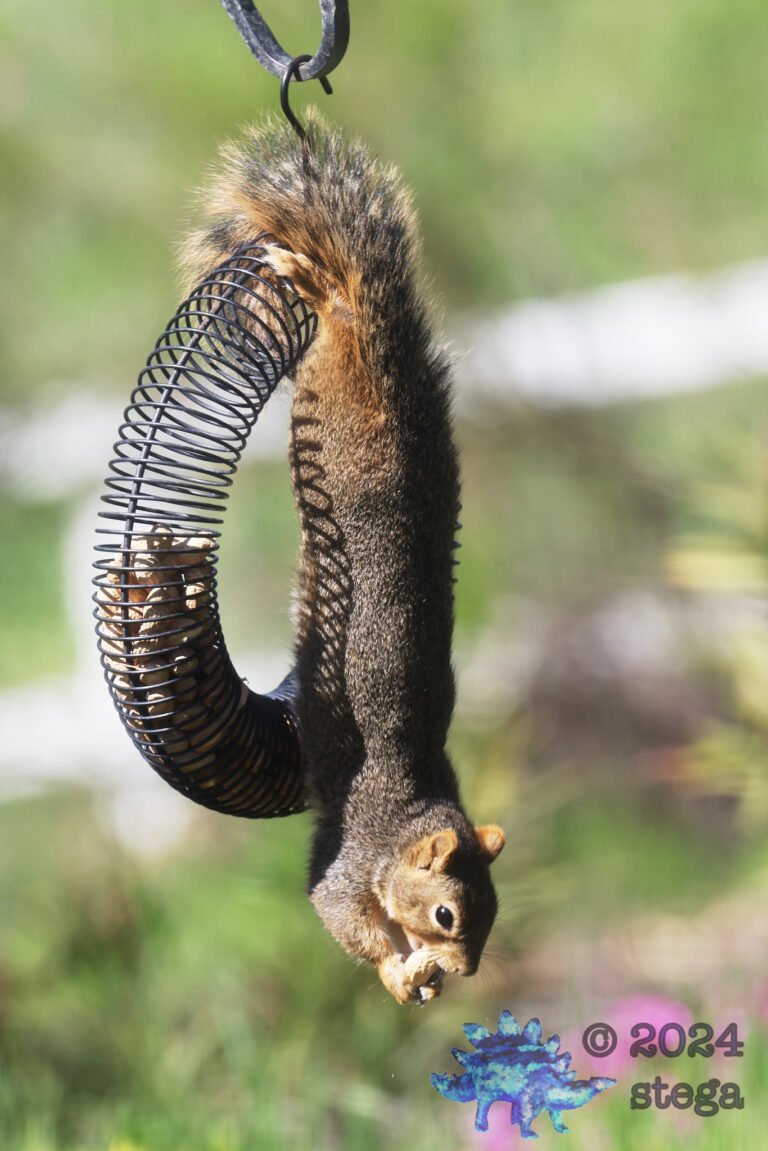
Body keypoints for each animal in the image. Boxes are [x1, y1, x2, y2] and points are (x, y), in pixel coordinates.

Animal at [182, 112, 505, 1005]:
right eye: (448, 914)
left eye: (495, 914)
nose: (467, 970)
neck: (414, 810)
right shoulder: (346, 863)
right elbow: (342, 918)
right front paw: (401, 974)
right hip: (340, 415)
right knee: (341, 312)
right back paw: (313, 278)